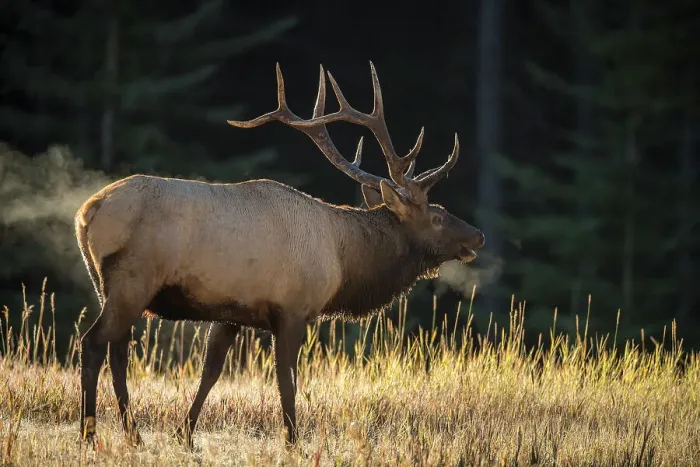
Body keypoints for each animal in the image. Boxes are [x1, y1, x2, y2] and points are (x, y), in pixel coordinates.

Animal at [74, 61, 485, 448]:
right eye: (436, 216)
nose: (478, 235)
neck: (342, 260)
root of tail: (88, 211)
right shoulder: (292, 309)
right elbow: (288, 382)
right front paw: (293, 442)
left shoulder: (232, 311)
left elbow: (211, 372)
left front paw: (185, 435)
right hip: (133, 278)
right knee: (93, 343)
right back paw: (90, 436)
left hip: (106, 284)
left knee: (117, 351)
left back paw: (133, 435)